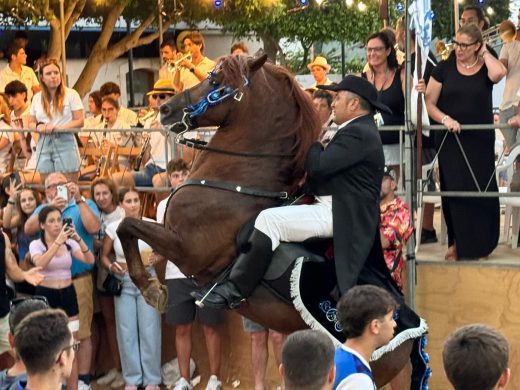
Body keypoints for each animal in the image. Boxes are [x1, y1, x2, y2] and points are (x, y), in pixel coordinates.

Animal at [118, 54, 426, 386]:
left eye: (215, 81)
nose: (165, 110)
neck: (236, 181)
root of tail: (409, 332)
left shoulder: (188, 249)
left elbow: (127, 226)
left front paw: (151, 289)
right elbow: (128, 229)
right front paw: (151, 285)